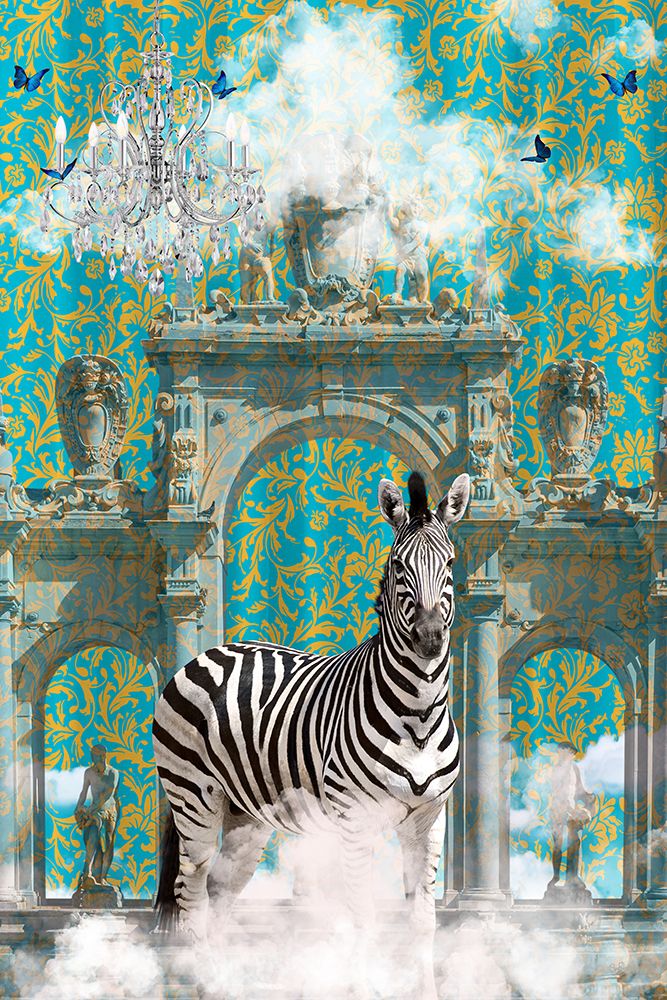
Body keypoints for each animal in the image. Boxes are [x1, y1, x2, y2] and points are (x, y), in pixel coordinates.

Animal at [153, 470, 469, 999]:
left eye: (448, 564)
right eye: (398, 567)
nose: (429, 639)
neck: (419, 717)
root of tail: (209, 652)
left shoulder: (429, 818)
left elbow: (422, 920)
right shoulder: (354, 820)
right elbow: (362, 918)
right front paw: (362, 986)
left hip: (246, 816)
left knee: (219, 894)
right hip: (192, 796)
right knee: (190, 896)